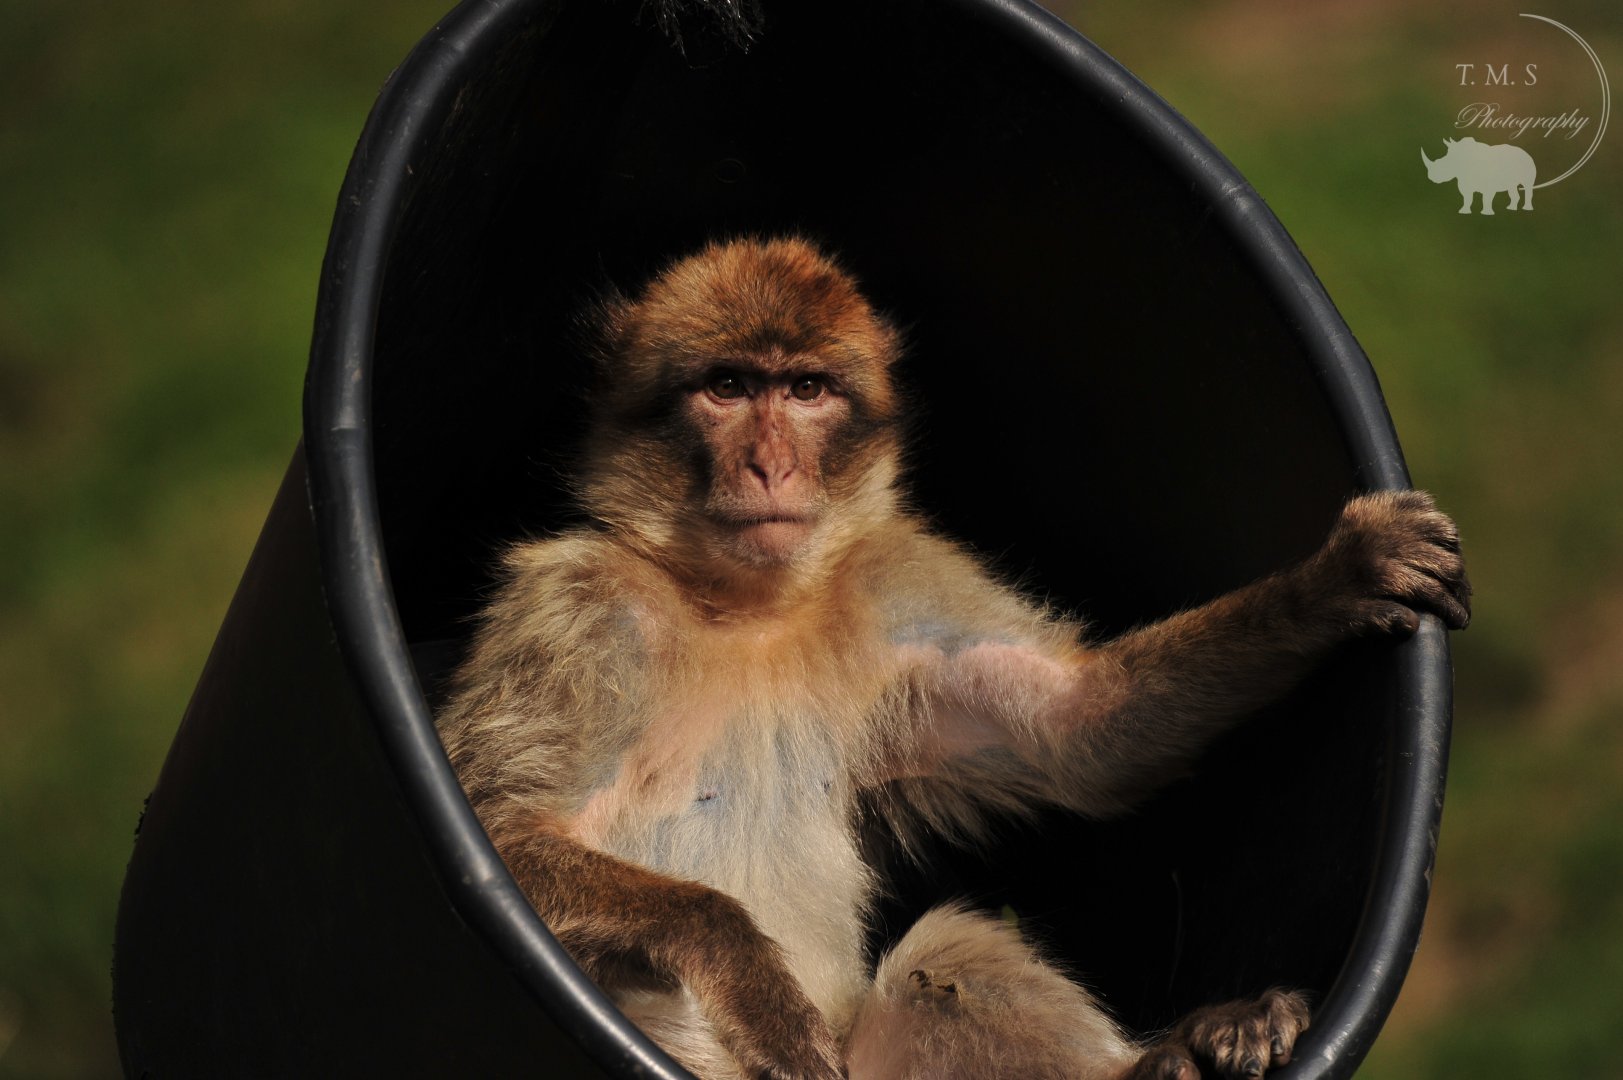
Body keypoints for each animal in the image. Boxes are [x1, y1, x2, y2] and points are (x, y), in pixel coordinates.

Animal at [434, 235, 1470, 1080]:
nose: (770, 466)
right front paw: (745, 968)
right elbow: (499, 829)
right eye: (725, 388)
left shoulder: (895, 582)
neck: (745, 607)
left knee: (947, 954)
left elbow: (1078, 730)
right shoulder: (572, 613)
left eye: (805, 390)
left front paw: (1335, 579)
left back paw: (1182, 1053)